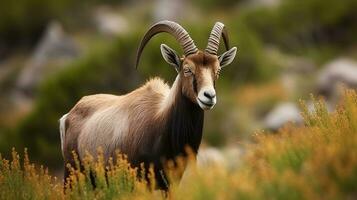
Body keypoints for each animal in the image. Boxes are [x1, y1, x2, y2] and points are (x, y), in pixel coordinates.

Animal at [60, 20, 236, 191]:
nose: (209, 96)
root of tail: (69, 115)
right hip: (72, 176)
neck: (161, 120)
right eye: (187, 69)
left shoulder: (170, 184)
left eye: (217, 70)